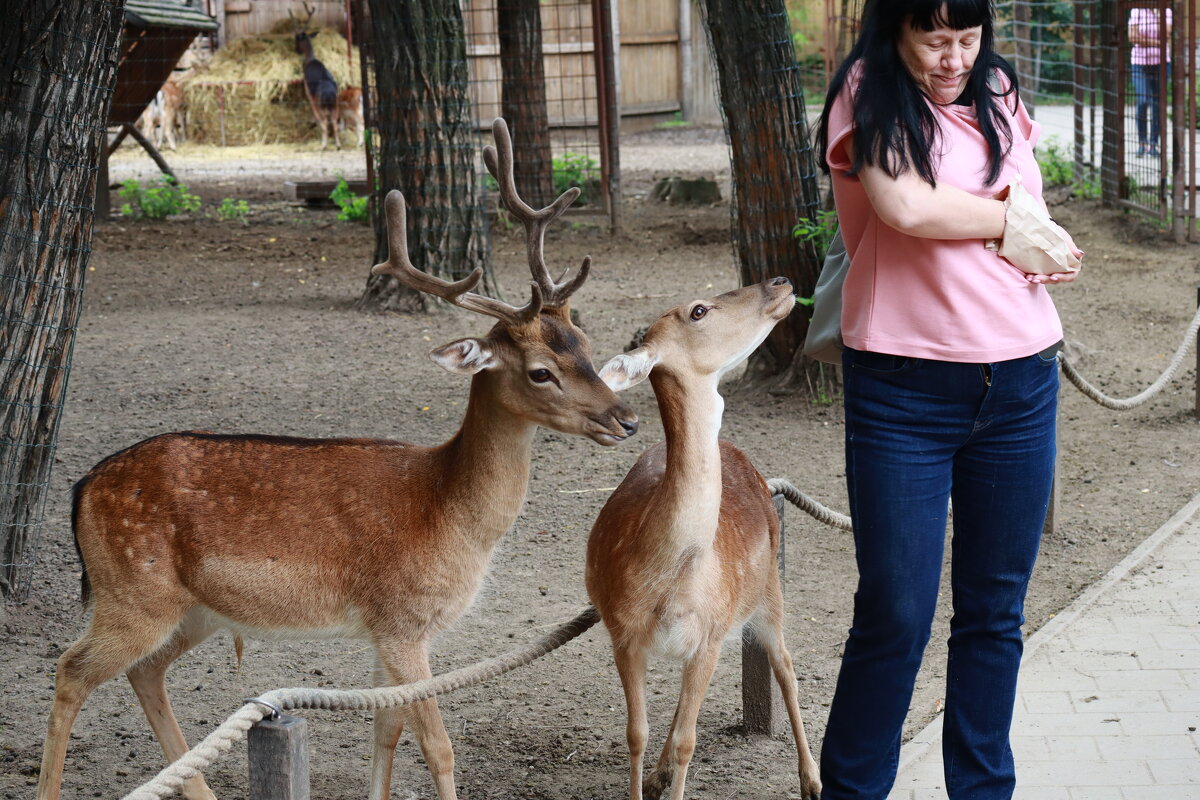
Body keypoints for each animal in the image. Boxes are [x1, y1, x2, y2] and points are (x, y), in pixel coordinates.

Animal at [35, 117, 638, 800]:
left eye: (584, 344)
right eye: (540, 371)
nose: (626, 419)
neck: (450, 513)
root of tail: (82, 487)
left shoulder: (383, 630)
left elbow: (386, 729)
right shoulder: (402, 622)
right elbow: (438, 746)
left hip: (193, 610)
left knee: (145, 671)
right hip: (131, 591)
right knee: (71, 668)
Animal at [291, 1, 340, 149]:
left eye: (296, 38)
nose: (295, 50)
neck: (309, 60)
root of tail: (329, 94)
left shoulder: (308, 92)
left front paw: (312, 122)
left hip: (320, 103)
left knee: (324, 121)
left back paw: (323, 145)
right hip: (336, 104)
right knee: (334, 122)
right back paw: (337, 145)